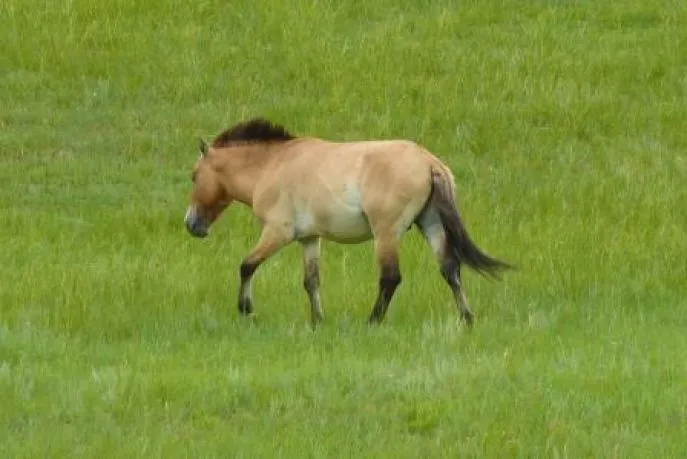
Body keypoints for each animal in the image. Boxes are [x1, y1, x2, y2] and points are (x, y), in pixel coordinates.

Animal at [183, 118, 513, 327]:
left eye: (194, 175)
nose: (191, 224)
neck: (272, 165)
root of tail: (429, 162)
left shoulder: (278, 232)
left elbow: (247, 265)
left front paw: (246, 309)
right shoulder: (309, 239)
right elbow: (311, 281)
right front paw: (318, 321)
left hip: (386, 233)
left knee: (391, 277)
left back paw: (373, 321)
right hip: (431, 225)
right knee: (450, 269)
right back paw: (466, 318)